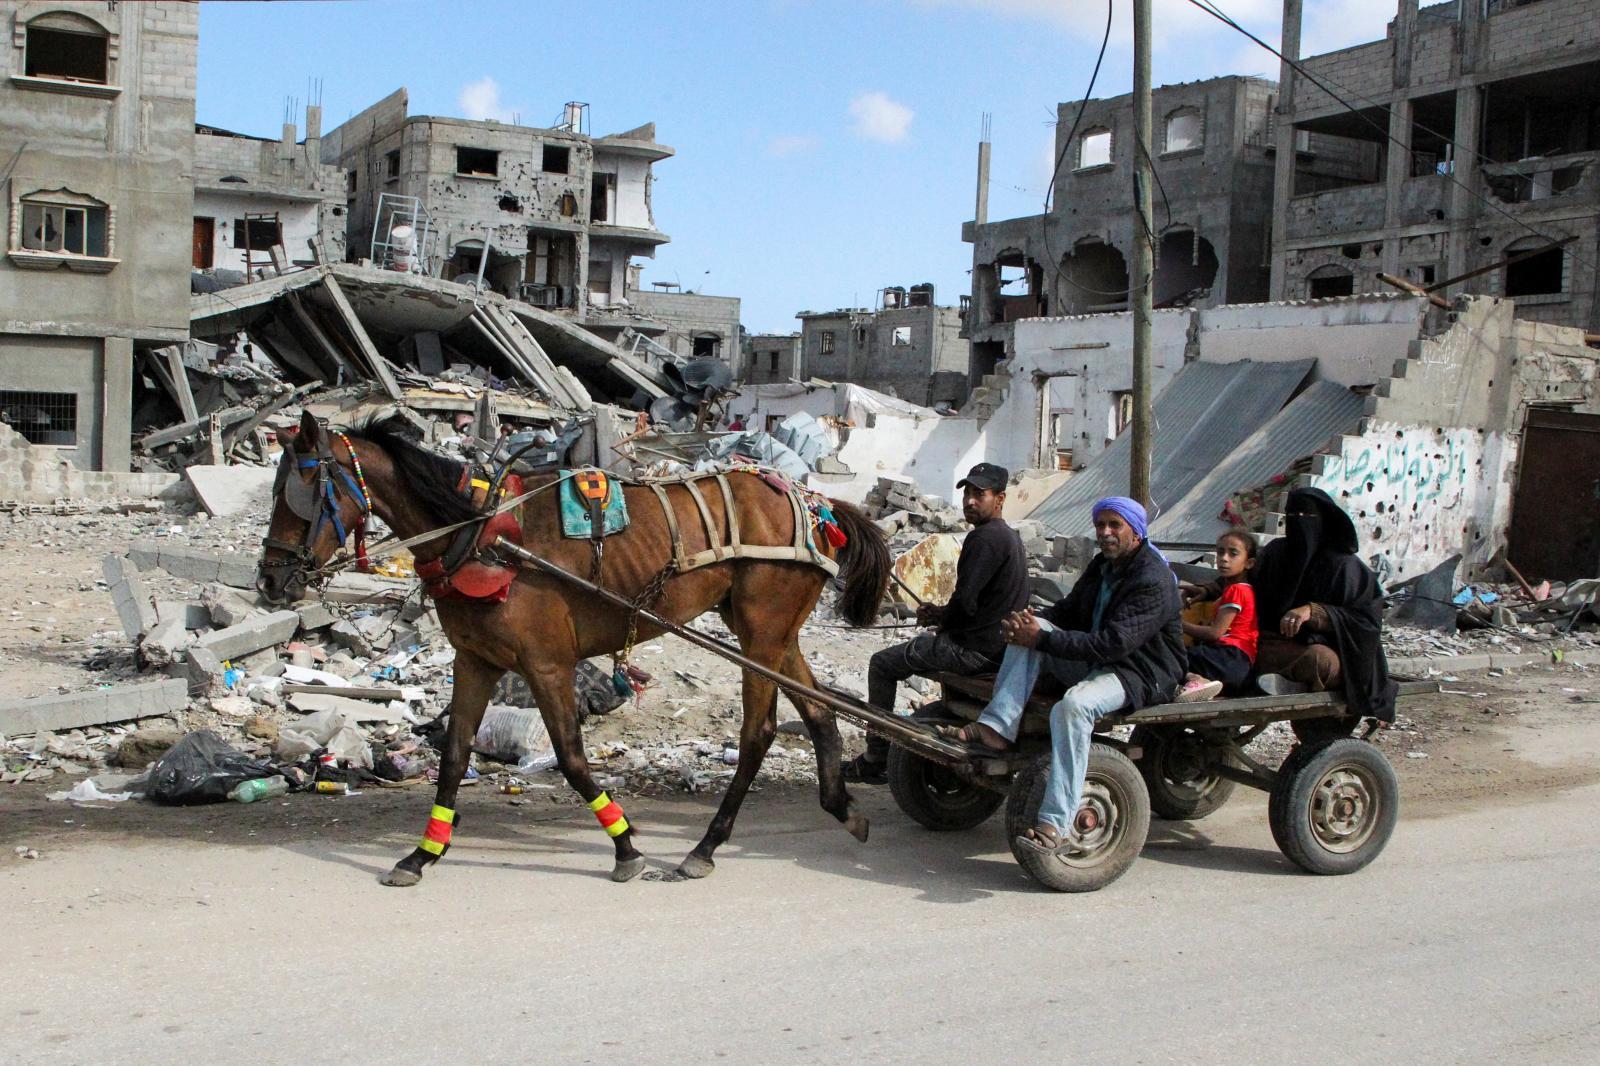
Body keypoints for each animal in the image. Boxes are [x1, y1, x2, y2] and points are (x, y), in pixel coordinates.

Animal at [256, 409, 896, 883]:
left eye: (303, 488)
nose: (269, 581)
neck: (481, 536)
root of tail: (816, 505)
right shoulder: (476, 660)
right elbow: (455, 755)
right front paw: (423, 853)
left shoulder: (545, 663)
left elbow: (570, 755)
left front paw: (626, 846)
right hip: (765, 629)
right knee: (817, 713)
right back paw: (841, 807)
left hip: (762, 631)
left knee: (758, 733)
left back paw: (707, 846)